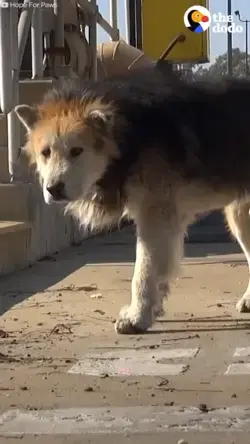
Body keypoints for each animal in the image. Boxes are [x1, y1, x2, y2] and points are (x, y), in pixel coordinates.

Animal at [15, 73, 250, 332]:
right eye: (46, 152)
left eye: (77, 151)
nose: (53, 189)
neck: (128, 137)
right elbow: (157, 271)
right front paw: (151, 310)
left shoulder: (155, 215)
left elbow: (143, 271)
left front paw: (137, 318)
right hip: (240, 216)